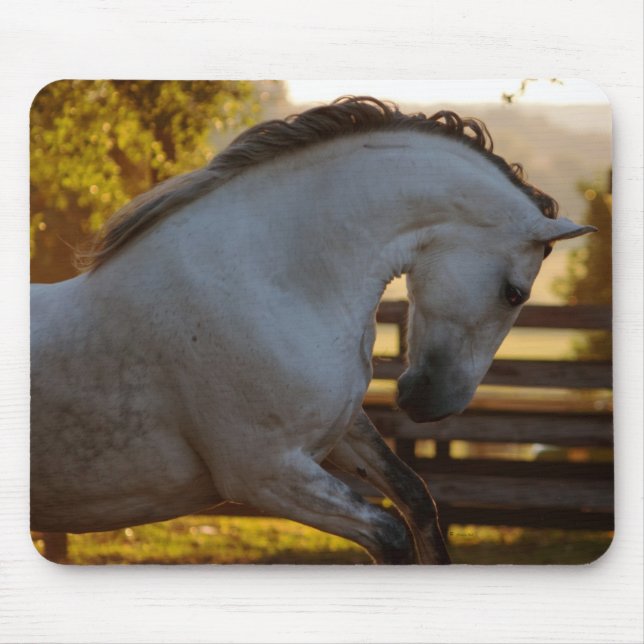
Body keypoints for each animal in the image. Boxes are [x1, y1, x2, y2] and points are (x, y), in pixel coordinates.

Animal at [31, 96, 595, 564]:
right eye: (515, 294)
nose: (431, 405)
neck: (269, 281)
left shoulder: (335, 436)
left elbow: (417, 500)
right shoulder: (268, 475)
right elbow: (391, 536)